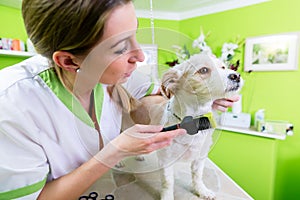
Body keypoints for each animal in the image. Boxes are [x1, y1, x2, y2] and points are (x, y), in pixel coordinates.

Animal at [134, 53, 244, 200]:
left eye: (223, 67)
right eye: (203, 70)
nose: (236, 75)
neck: (193, 122)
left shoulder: (200, 158)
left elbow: (197, 176)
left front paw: (202, 191)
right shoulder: (166, 161)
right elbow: (168, 182)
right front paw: (167, 197)